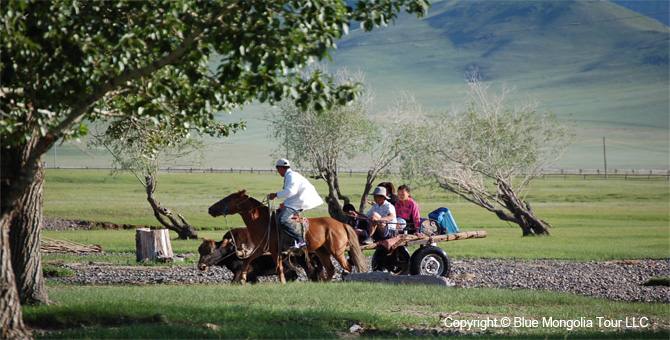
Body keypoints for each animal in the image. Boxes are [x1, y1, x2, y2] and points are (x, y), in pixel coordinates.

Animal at [196, 227, 324, 282]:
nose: (201, 266)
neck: (233, 250)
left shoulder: (239, 272)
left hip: (307, 265)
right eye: (199, 250)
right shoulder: (251, 275)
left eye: (210, 250)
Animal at [209, 190, 370, 282]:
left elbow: (279, 267)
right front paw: (242, 279)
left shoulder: (275, 250)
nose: (211, 209)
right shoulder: (262, 249)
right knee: (331, 269)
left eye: (229, 199)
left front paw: (282, 282)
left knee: (347, 266)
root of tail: (341, 224)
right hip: (322, 251)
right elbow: (247, 260)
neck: (265, 221)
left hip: (336, 251)